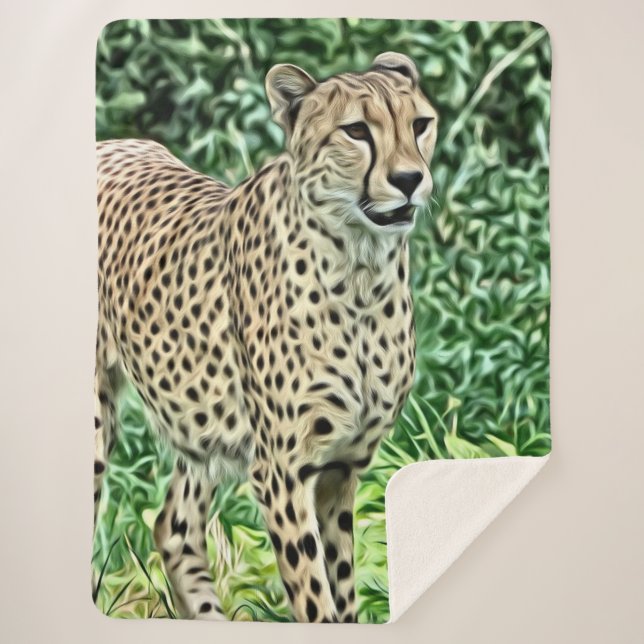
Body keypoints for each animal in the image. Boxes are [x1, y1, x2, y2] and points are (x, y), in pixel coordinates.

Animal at [94, 51, 438, 623]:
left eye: (420, 124)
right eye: (356, 131)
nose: (411, 179)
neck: (361, 271)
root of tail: (111, 142)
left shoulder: (340, 470)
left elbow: (342, 589)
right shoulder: (283, 471)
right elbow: (315, 596)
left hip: (203, 420)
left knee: (173, 526)